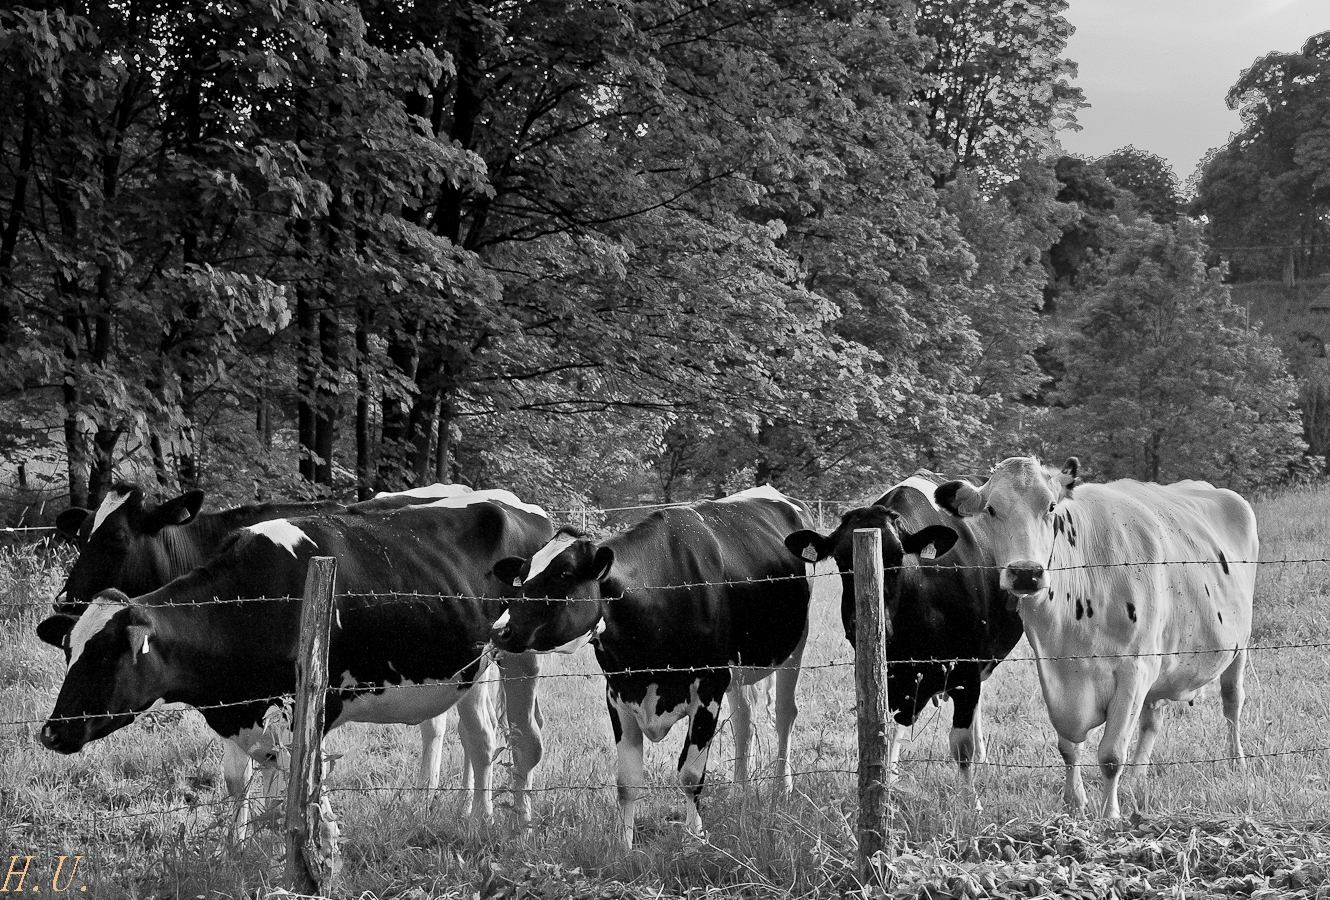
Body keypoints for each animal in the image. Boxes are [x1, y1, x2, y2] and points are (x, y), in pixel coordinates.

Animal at [37, 491, 550, 829]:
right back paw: (468, 814)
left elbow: (301, 781)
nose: (50, 732)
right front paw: (239, 847)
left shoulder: (311, 706)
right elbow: (241, 777)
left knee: (520, 740)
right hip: (471, 667)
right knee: (478, 737)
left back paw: (510, 825)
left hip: (517, 656)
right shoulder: (235, 704)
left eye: (108, 655)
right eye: (70, 651)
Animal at [492, 489, 808, 845]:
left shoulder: (709, 684)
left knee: (784, 714)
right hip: (738, 670)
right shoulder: (618, 691)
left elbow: (690, 775)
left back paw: (782, 788)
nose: (500, 629)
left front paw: (693, 839)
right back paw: (740, 789)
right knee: (744, 719)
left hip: (794, 646)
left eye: (564, 574)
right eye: (522, 576)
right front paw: (623, 846)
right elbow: (627, 782)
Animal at [776, 473, 1016, 781]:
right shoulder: (886, 677)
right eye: (840, 559)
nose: (856, 623)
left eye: (897, 557)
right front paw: (886, 780)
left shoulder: (967, 670)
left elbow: (963, 748)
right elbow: (885, 732)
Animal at [936, 459, 1255, 818]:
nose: (1026, 572)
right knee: (1152, 719)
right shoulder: (1055, 673)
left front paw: (1109, 815)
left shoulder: (1134, 670)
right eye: (991, 509)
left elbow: (1111, 755)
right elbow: (1068, 746)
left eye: (1051, 507)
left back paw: (1237, 761)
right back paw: (1135, 782)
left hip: (1238, 645)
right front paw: (1075, 801)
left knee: (1232, 701)